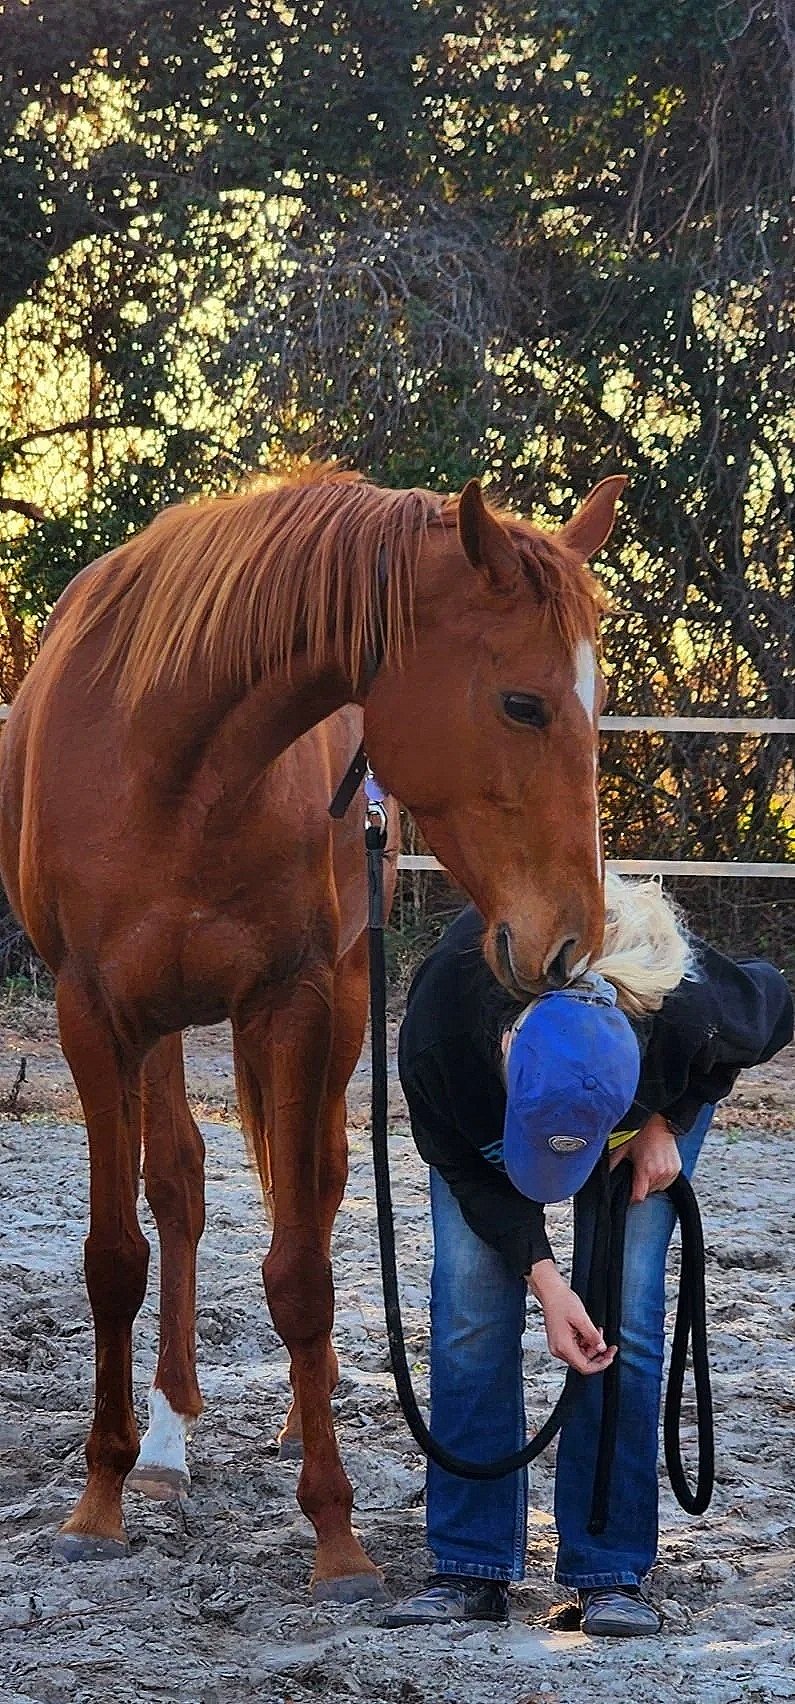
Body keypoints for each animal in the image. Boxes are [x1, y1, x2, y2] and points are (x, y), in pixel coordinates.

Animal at [0, 462, 625, 1601]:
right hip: (161, 1030)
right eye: (521, 702)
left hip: (334, 1003)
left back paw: (302, 1410)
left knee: (319, 1189)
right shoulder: (92, 1014)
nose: (568, 944)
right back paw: (166, 1444)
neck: (171, 757)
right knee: (182, 1188)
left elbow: (300, 1268)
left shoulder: (293, 1005)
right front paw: (100, 1499)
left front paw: (335, 1533)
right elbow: (115, 1256)